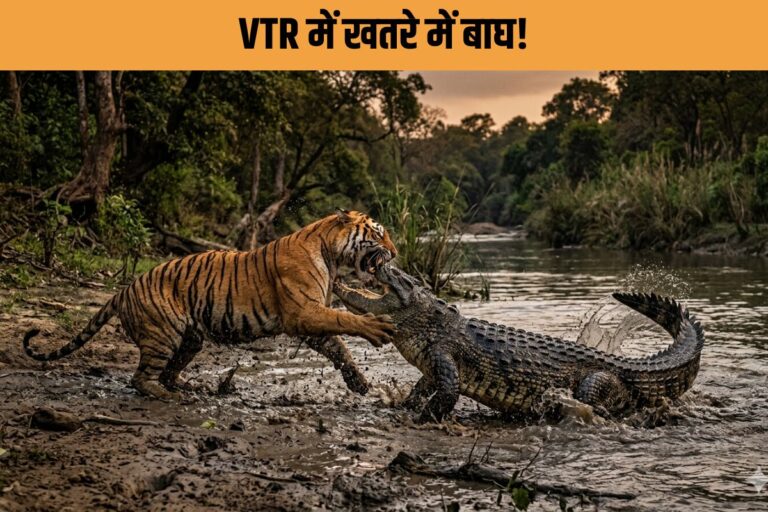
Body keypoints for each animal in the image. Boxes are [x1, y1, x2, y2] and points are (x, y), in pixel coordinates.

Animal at [22, 210, 397, 400]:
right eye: (378, 233)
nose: (394, 253)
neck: (331, 253)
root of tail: (122, 291)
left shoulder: (310, 321)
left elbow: (338, 348)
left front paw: (361, 385)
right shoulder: (303, 313)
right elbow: (345, 322)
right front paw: (378, 327)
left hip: (190, 339)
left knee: (168, 372)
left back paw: (191, 386)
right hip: (163, 335)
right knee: (141, 378)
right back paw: (168, 395)